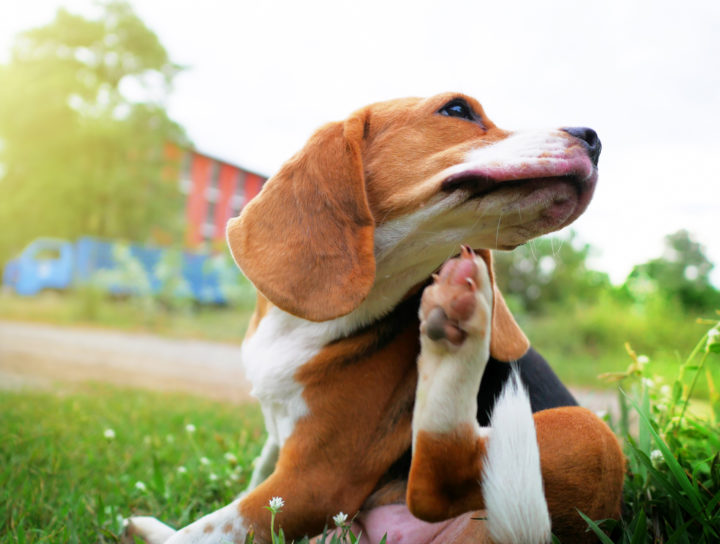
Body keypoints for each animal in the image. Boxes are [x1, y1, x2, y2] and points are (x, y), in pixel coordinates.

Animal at [126, 93, 628, 544]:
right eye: (458, 109)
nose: (594, 138)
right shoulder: (279, 451)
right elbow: (250, 480)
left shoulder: (314, 482)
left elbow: (201, 532)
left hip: (590, 433)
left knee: (437, 484)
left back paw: (459, 340)